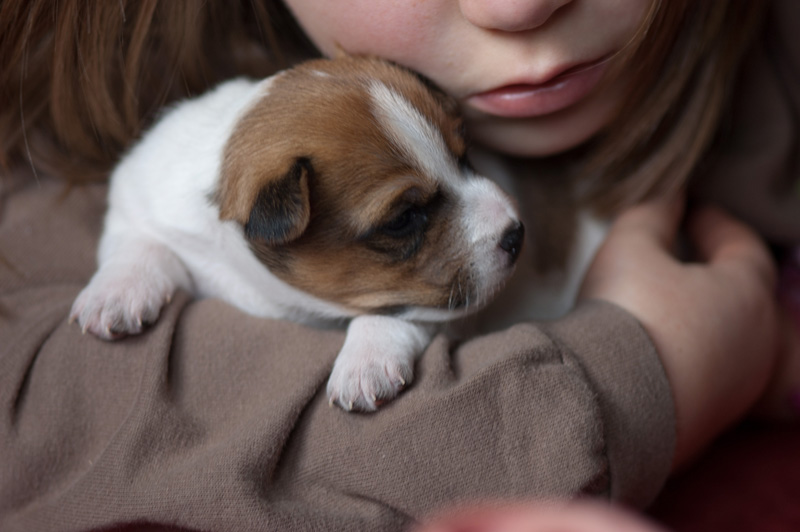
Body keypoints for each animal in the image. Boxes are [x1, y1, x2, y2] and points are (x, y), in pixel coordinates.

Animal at [67, 55, 520, 412]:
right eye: (403, 218)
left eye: (465, 157)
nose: (517, 233)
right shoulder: (132, 202)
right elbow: (137, 243)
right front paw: (115, 294)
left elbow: (393, 313)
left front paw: (365, 361)